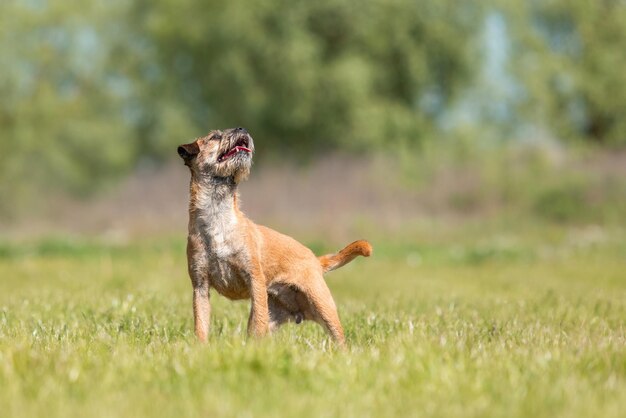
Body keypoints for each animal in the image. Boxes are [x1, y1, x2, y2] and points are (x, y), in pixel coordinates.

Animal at [177, 128, 370, 346]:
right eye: (215, 137)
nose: (242, 129)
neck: (218, 217)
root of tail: (315, 260)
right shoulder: (200, 286)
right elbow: (200, 324)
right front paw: (200, 347)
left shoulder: (254, 279)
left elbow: (257, 321)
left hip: (323, 306)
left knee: (339, 338)